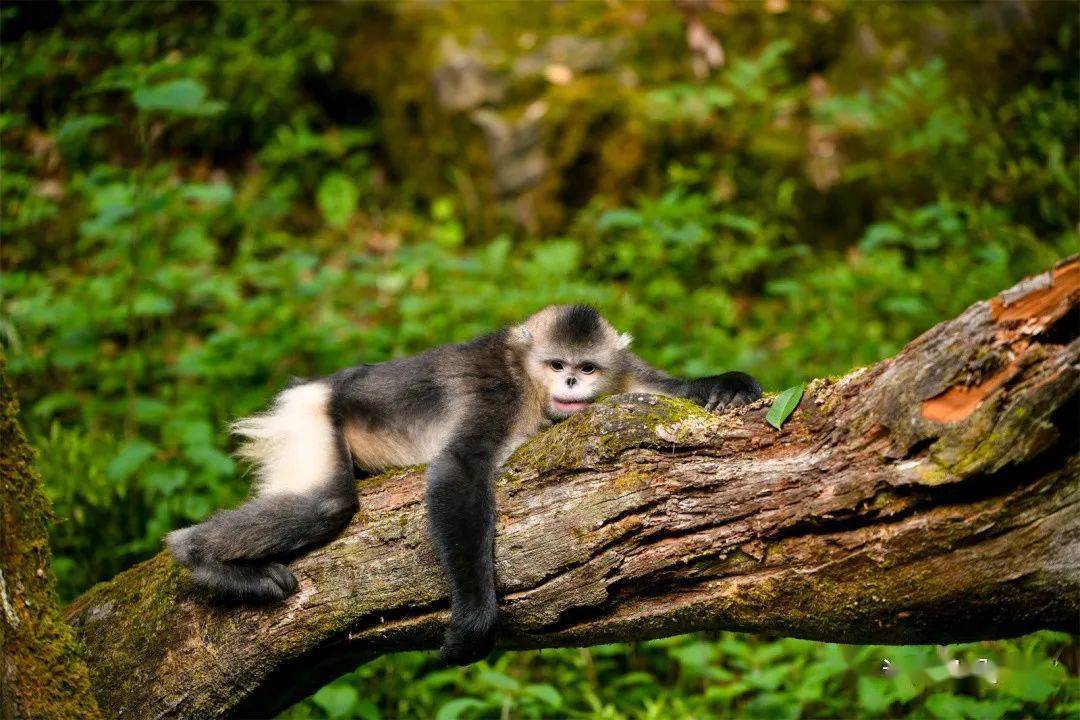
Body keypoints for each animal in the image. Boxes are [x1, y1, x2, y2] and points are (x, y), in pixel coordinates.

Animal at [166, 302, 760, 664]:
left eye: (587, 368)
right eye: (557, 364)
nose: (571, 382)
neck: (530, 379)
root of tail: (314, 387)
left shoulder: (622, 370)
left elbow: (663, 390)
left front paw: (727, 384)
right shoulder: (500, 390)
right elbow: (458, 471)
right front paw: (476, 618)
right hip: (309, 417)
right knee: (326, 504)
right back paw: (198, 554)